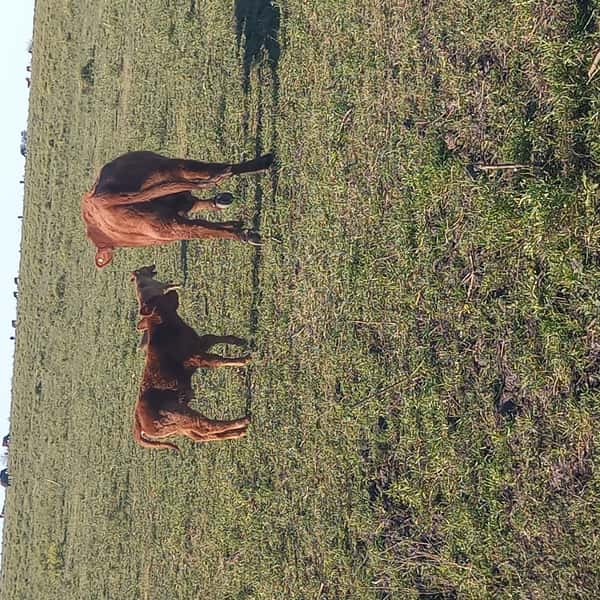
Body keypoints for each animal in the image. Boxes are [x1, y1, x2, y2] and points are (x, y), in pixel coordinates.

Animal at [82, 150, 274, 268]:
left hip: (170, 224)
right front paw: (227, 209)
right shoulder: (185, 203)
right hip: (171, 171)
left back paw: (248, 236)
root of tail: (98, 198)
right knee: (215, 171)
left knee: (200, 230)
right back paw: (264, 162)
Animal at [132, 286, 250, 450]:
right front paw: (244, 360)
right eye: (158, 298)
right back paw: (243, 423)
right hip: (180, 415)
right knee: (207, 426)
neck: (166, 327)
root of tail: (138, 422)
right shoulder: (196, 357)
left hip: (182, 427)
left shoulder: (200, 343)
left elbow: (215, 337)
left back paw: (239, 432)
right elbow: (218, 359)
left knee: (203, 435)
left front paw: (240, 341)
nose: (172, 291)